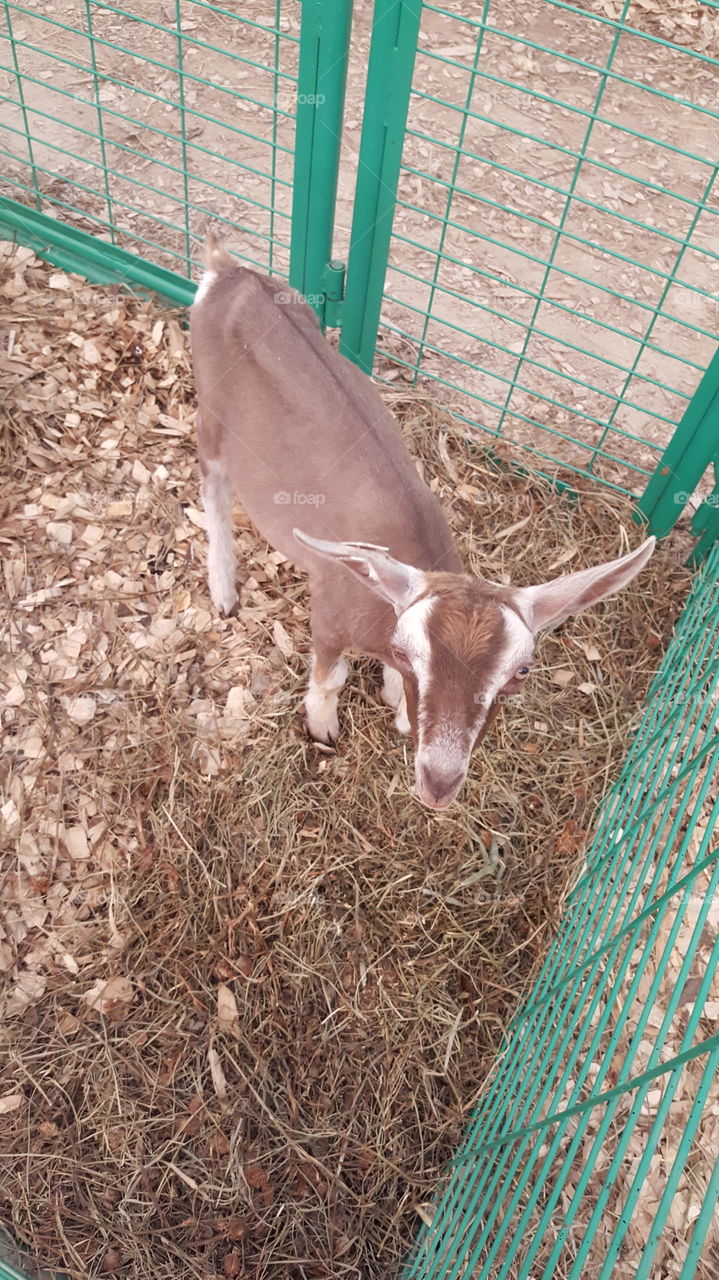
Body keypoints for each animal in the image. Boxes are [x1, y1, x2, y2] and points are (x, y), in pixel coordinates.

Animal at [190, 232, 655, 810]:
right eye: (408, 652)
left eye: (521, 671)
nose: (439, 782)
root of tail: (227, 270)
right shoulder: (329, 613)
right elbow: (330, 677)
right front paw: (323, 728)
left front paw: (395, 700)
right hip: (210, 420)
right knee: (213, 491)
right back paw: (224, 591)